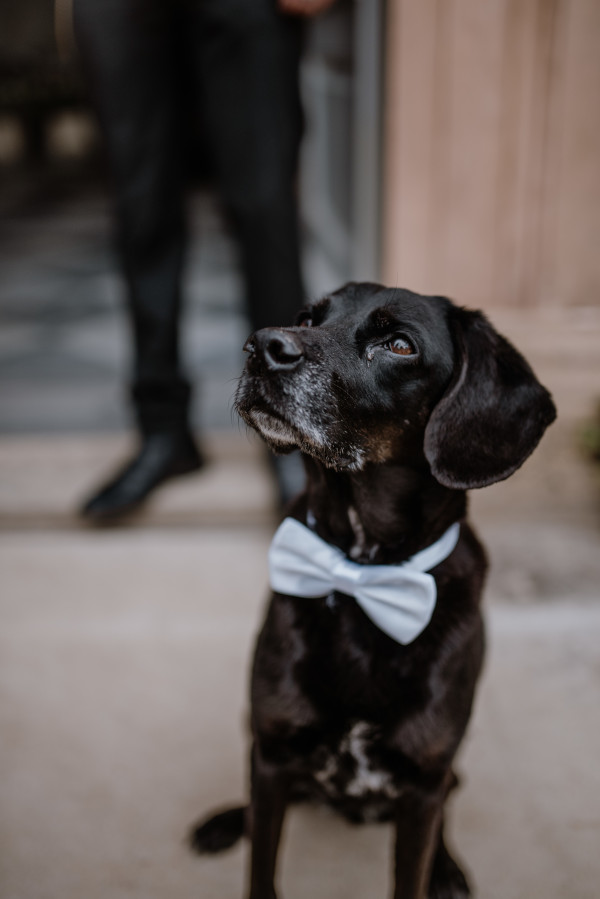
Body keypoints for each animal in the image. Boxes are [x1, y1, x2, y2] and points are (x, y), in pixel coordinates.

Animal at [190, 284, 556, 899]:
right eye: (307, 318)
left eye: (400, 345)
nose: (262, 346)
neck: (362, 573)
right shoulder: (273, 755)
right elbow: (261, 863)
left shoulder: (423, 783)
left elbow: (413, 868)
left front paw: (437, 869)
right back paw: (223, 823)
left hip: (446, 772)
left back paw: (448, 869)